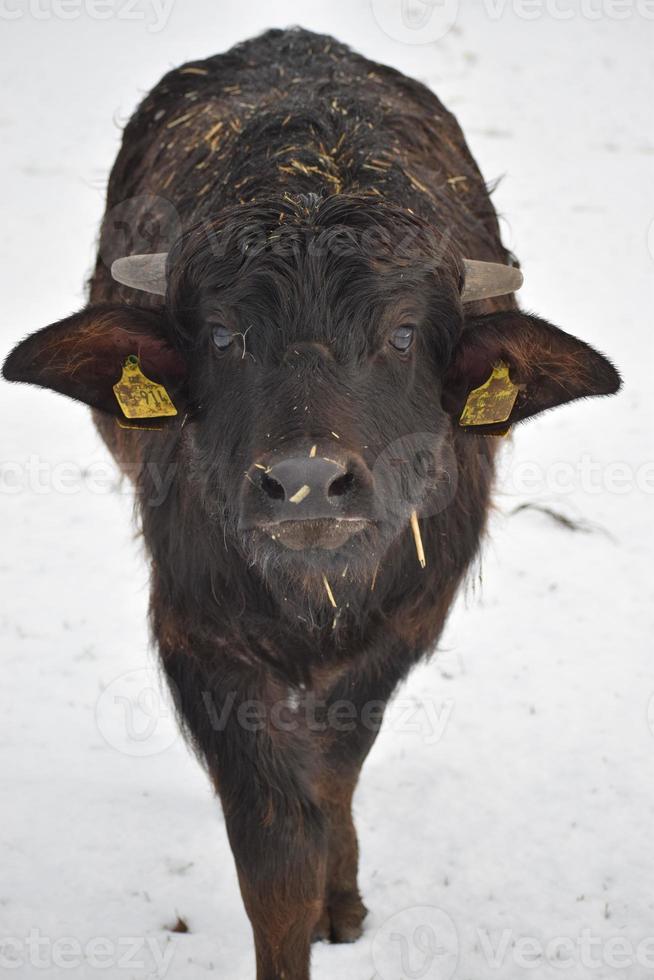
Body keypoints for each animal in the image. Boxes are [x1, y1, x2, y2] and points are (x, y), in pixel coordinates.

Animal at [3, 26, 620, 980]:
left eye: (401, 334)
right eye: (225, 335)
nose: (305, 480)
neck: (314, 592)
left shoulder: (404, 621)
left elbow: (334, 772)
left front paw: (343, 899)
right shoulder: (199, 637)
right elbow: (273, 850)